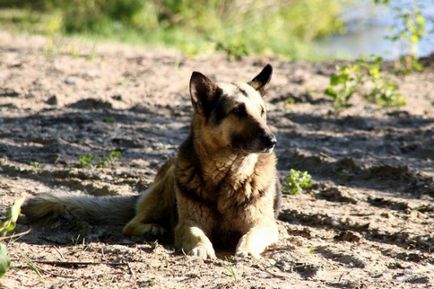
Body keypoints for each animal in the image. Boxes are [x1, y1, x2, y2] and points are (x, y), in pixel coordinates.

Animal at [22, 64, 282, 258]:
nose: (272, 141)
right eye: (238, 111)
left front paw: (246, 249)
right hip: (167, 184)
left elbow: (252, 234)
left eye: (262, 112)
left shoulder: (265, 224)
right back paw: (154, 229)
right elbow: (196, 233)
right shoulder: (188, 223)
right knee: (132, 224)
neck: (226, 175)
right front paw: (201, 248)